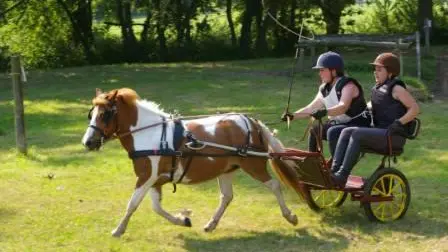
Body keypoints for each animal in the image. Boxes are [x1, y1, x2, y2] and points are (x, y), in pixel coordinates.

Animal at [80, 88, 304, 236]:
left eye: (105, 114)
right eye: (92, 114)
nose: (88, 142)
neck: (149, 134)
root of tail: (251, 121)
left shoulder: (145, 177)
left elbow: (133, 203)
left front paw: (118, 229)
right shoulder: (154, 180)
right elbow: (156, 207)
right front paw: (183, 219)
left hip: (253, 165)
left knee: (274, 185)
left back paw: (290, 216)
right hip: (227, 170)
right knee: (227, 196)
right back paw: (211, 223)